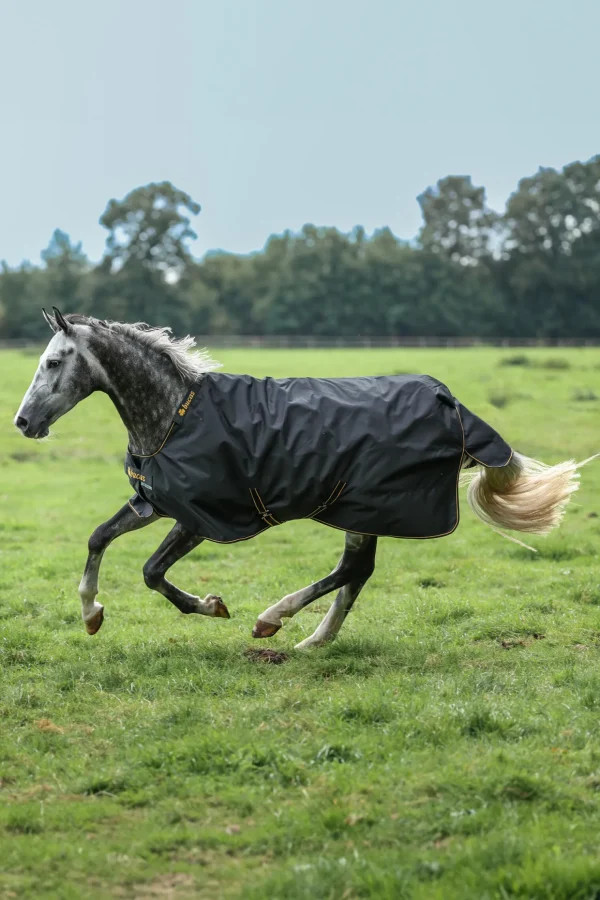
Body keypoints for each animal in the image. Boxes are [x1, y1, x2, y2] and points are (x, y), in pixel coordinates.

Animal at [14, 310, 584, 648]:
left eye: (54, 361)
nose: (23, 422)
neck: (174, 414)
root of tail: (455, 408)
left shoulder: (201, 516)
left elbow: (153, 572)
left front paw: (211, 606)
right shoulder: (155, 501)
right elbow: (98, 538)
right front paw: (91, 614)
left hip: (362, 506)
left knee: (353, 569)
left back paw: (274, 618)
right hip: (362, 509)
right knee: (358, 573)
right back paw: (315, 639)